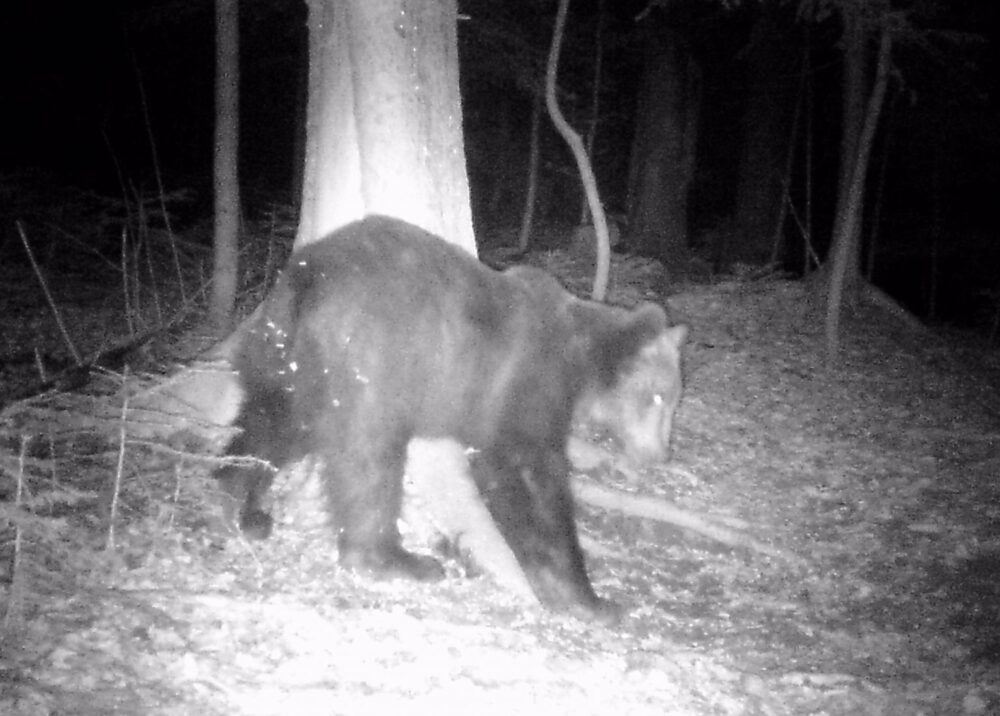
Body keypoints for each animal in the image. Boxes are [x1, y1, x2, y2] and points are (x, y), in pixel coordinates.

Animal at [216, 215, 688, 624]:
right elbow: (529, 476)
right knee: (368, 460)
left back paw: (242, 498)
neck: (578, 364)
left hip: (282, 355)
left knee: (275, 420)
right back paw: (396, 559)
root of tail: (306, 279)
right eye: (658, 397)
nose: (660, 455)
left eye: (675, 399)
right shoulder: (524, 383)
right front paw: (588, 598)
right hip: (370, 363)